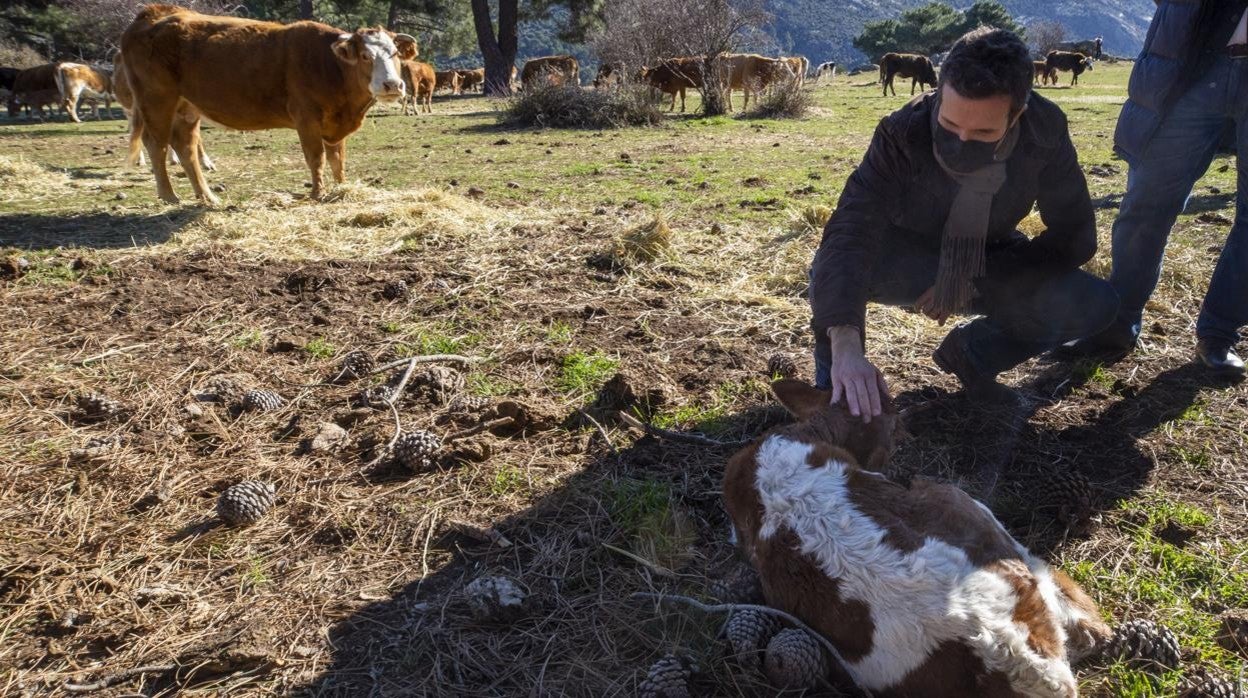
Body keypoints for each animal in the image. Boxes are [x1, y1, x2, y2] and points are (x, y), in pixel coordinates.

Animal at [123, 4, 421, 203]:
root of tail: (153, 13)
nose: (392, 85)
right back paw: (169, 195)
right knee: (157, 145)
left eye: (395, 53)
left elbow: (338, 159)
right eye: (364, 56)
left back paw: (207, 196)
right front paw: (318, 192)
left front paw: (341, 188)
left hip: (186, 107)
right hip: (156, 100)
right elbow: (316, 157)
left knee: (185, 147)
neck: (331, 66)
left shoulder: (335, 125)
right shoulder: (306, 119)